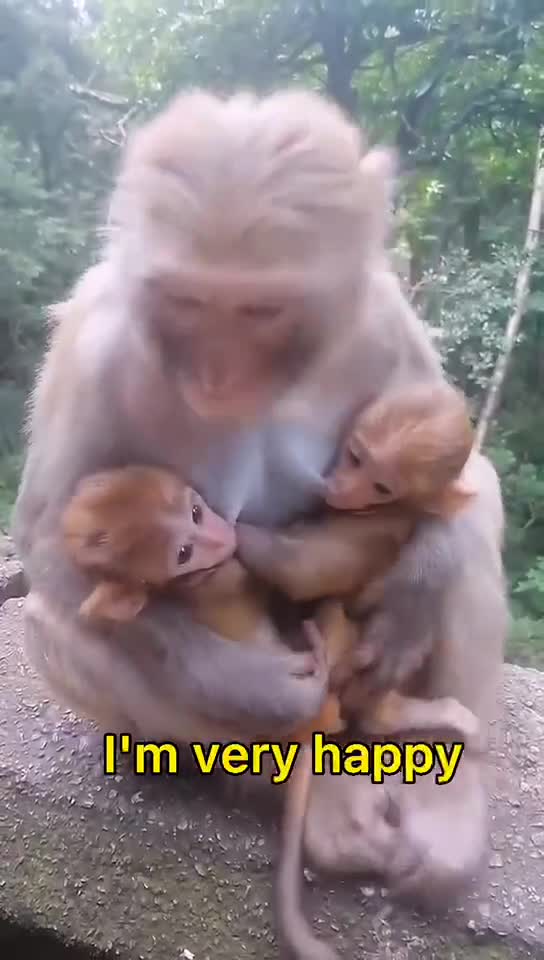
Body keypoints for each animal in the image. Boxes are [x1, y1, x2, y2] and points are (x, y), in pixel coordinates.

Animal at [12, 88, 505, 913]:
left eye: (262, 311)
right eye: (187, 301)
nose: (218, 375)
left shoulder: (380, 314)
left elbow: (460, 476)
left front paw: (416, 586)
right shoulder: (97, 344)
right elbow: (51, 542)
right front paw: (259, 690)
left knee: (466, 525)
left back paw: (445, 793)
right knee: (57, 621)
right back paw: (314, 793)